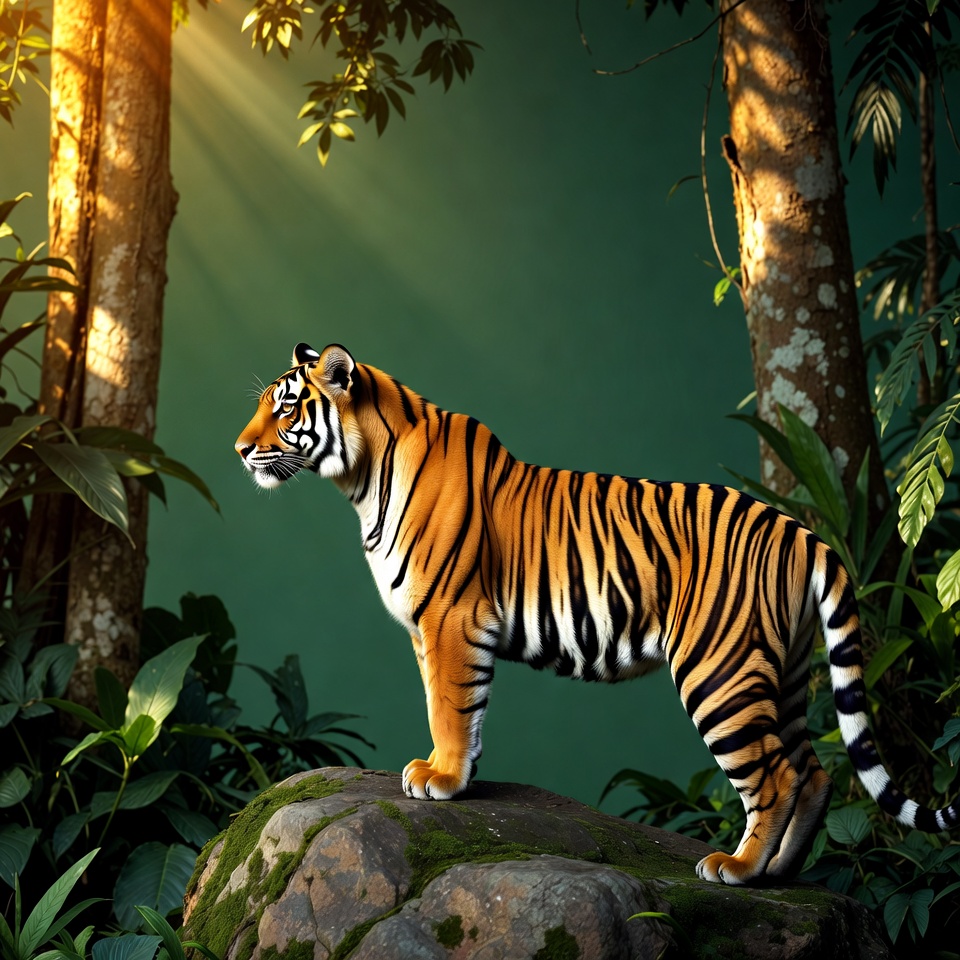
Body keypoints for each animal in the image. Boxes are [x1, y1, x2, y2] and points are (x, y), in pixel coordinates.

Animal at [235, 341, 959, 885]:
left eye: (286, 407)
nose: (240, 449)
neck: (361, 479)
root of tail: (804, 533)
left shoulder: (450, 618)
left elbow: (451, 705)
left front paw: (441, 779)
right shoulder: (428, 628)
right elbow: (454, 707)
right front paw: (446, 772)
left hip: (718, 669)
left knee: (777, 774)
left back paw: (738, 868)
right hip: (780, 671)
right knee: (812, 772)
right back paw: (779, 873)